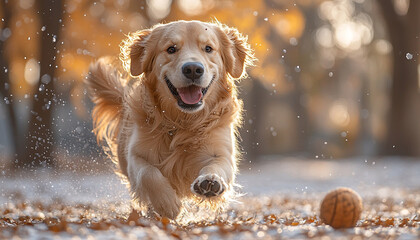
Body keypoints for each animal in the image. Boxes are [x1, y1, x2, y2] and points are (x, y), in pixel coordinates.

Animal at [86, 20, 253, 219]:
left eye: (208, 48)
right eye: (171, 49)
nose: (193, 69)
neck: (183, 122)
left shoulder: (221, 151)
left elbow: (217, 166)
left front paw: (210, 182)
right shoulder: (135, 155)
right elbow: (148, 173)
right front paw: (167, 203)